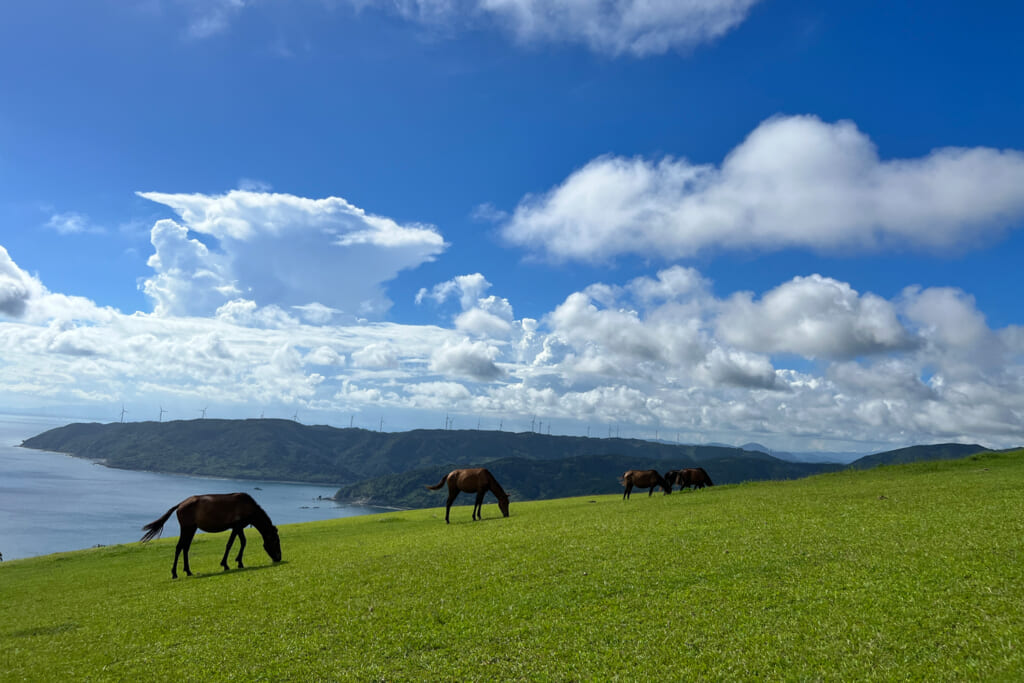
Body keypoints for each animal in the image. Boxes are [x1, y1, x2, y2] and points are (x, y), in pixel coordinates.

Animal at [140, 493, 282, 581]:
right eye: (275, 541)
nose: (279, 558)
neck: (249, 507)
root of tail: (180, 504)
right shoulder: (236, 526)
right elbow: (230, 544)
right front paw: (225, 564)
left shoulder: (239, 527)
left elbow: (243, 542)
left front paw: (239, 562)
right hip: (186, 527)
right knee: (180, 547)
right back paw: (174, 573)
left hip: (192, 528)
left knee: (185, 547)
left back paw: (188, 571)